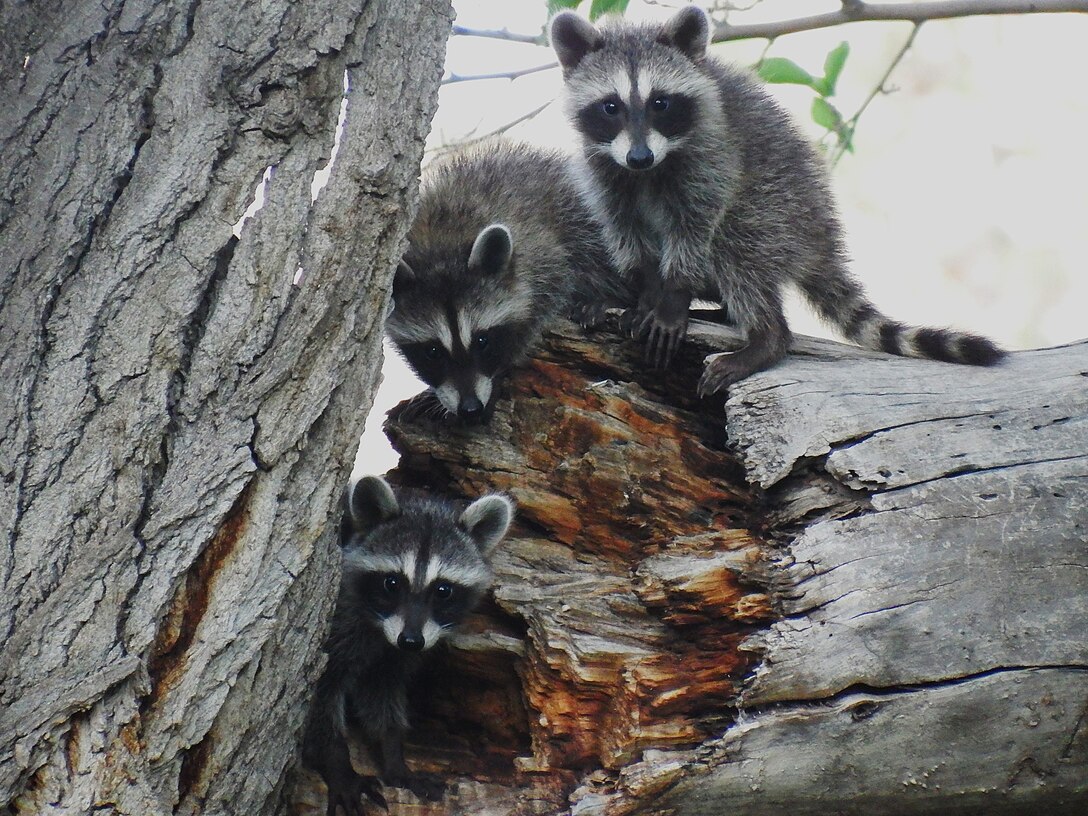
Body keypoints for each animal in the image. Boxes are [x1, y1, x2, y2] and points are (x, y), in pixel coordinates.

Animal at [302, 476, 514, 814]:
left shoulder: (399, 651)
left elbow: (382, 689)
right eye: (392, 583)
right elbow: (320, 695)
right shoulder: (338, 621)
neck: (381, 629)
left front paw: (393, 753)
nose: (411, 641)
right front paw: (336, 760)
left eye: (443, 590)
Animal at [387, 139, 630, 423]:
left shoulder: (543, 252)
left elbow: (545, 305)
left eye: (482, 341)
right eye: (432, 352)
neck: (443, 240)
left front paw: (503, 368)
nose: (470, 408)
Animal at [550, 6, 1006, 394]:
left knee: (737, 243)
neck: (647, 170)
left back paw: (765, 336)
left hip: (780, 208)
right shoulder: (604, 170)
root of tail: (822, 237)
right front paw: (646, 290)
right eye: (611, 106)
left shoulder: (713, 154)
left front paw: (673, 297)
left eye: (660, 102)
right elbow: (624, 228)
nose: (640, 157)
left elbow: (697, 224)